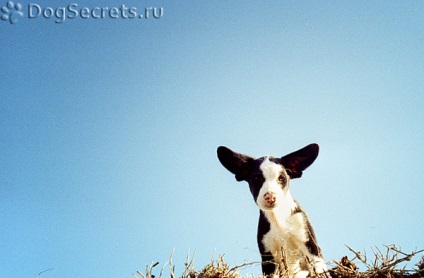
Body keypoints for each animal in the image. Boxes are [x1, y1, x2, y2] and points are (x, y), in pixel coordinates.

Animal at [217, 143, 326, 278]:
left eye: (281, 178)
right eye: (257, 178)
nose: (270, 196)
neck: (278, 218)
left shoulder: (312, 247)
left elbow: (320, 268)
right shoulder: (268, 258)